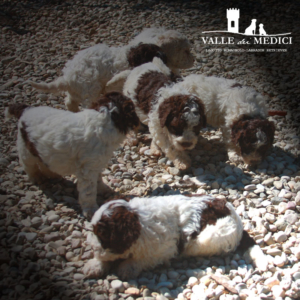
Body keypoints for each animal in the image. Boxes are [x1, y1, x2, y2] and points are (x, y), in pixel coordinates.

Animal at [5, 91, 139, 218]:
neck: (104, 117)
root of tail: (25, 110)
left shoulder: (95, 164)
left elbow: (98, 180)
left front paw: (104, 190)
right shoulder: (87, 168)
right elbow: (89, 191)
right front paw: (91, 210)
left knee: (43, 161)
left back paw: (53, 175)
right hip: (25, 148)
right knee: (29, 165)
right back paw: (38, 178)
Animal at [29, 27, 193, 112]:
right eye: (185, 51)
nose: (194, 59)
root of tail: (67, 77)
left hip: (76, 91)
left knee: (69, 101)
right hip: (90, 90)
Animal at [82, 193, 268, 280]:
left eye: (102, 235)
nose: (91, 246)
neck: (138, 219)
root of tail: (237, 219)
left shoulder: (163, 250)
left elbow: (140, 259)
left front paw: (127, 268)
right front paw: (94, 265)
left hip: (209, 237)